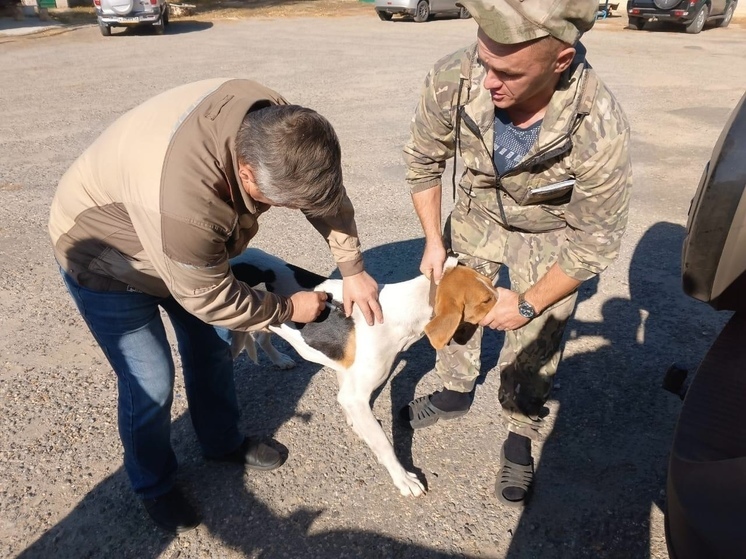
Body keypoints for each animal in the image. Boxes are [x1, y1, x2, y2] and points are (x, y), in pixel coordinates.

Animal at [230, 249, 496, 498]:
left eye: (491, 283)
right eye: (486, 300)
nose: (507, 303)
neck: (402, 311)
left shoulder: (348, 381)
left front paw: (357, 426)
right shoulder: (355, 396)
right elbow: (384, 444)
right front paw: (403, 479)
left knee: (261, 336)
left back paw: (280, 360)